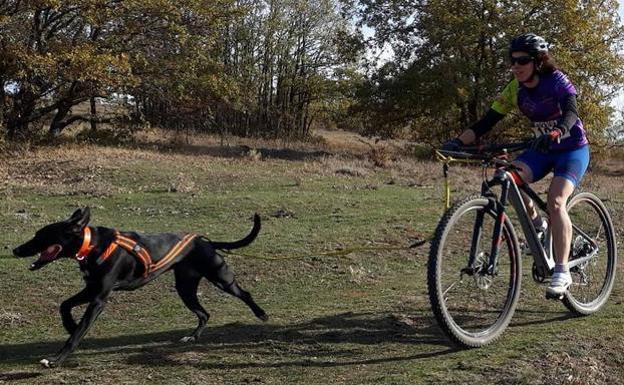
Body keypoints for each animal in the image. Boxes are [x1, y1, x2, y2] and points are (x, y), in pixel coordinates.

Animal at [12, 207, 266, 366]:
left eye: (41, 235)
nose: (15, 250)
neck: (92, 246)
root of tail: (205, 241)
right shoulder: (92, 289)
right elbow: (64, 305)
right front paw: (69, 324)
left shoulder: (99, 298)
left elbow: (78, 332)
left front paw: (57, 359)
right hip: (185, 288)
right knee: (204, 314)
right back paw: (192, 337)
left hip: (220, 276)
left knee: (244, 293)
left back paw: (261, 314)